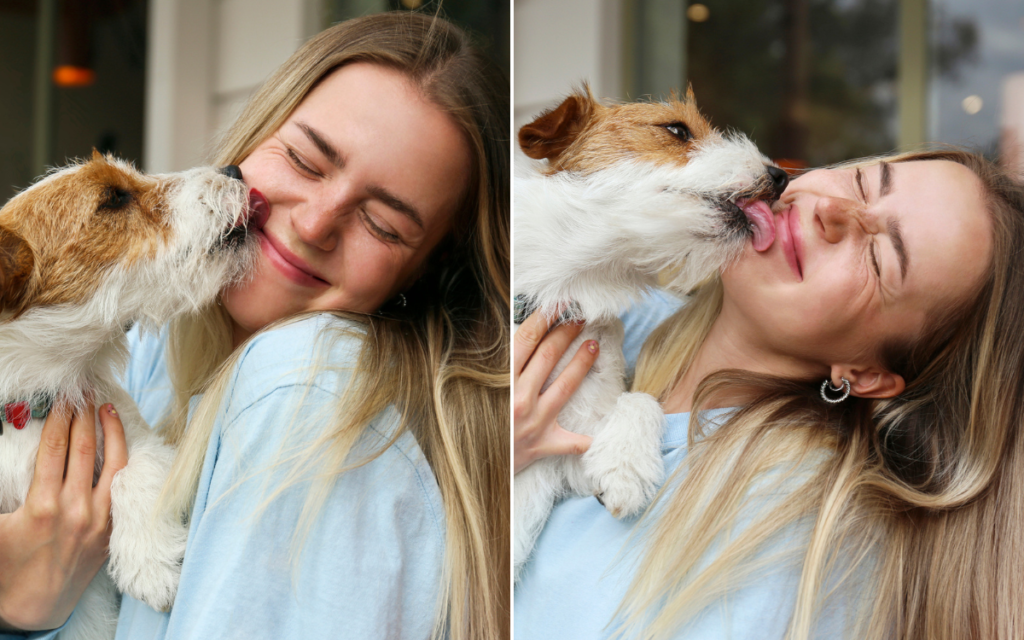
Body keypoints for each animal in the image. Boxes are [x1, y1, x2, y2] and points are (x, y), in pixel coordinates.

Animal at [0, 152, 262, 634]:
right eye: (114, 199)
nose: (234, 171)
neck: (31, 401)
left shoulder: (134, 434)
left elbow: (132, 473)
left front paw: (151, 566)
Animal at [516, 87, 786, 577]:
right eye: (676, 129)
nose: (780, 176)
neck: (560, 291)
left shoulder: (565, 451)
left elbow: (639, 399)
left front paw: (626, 468)